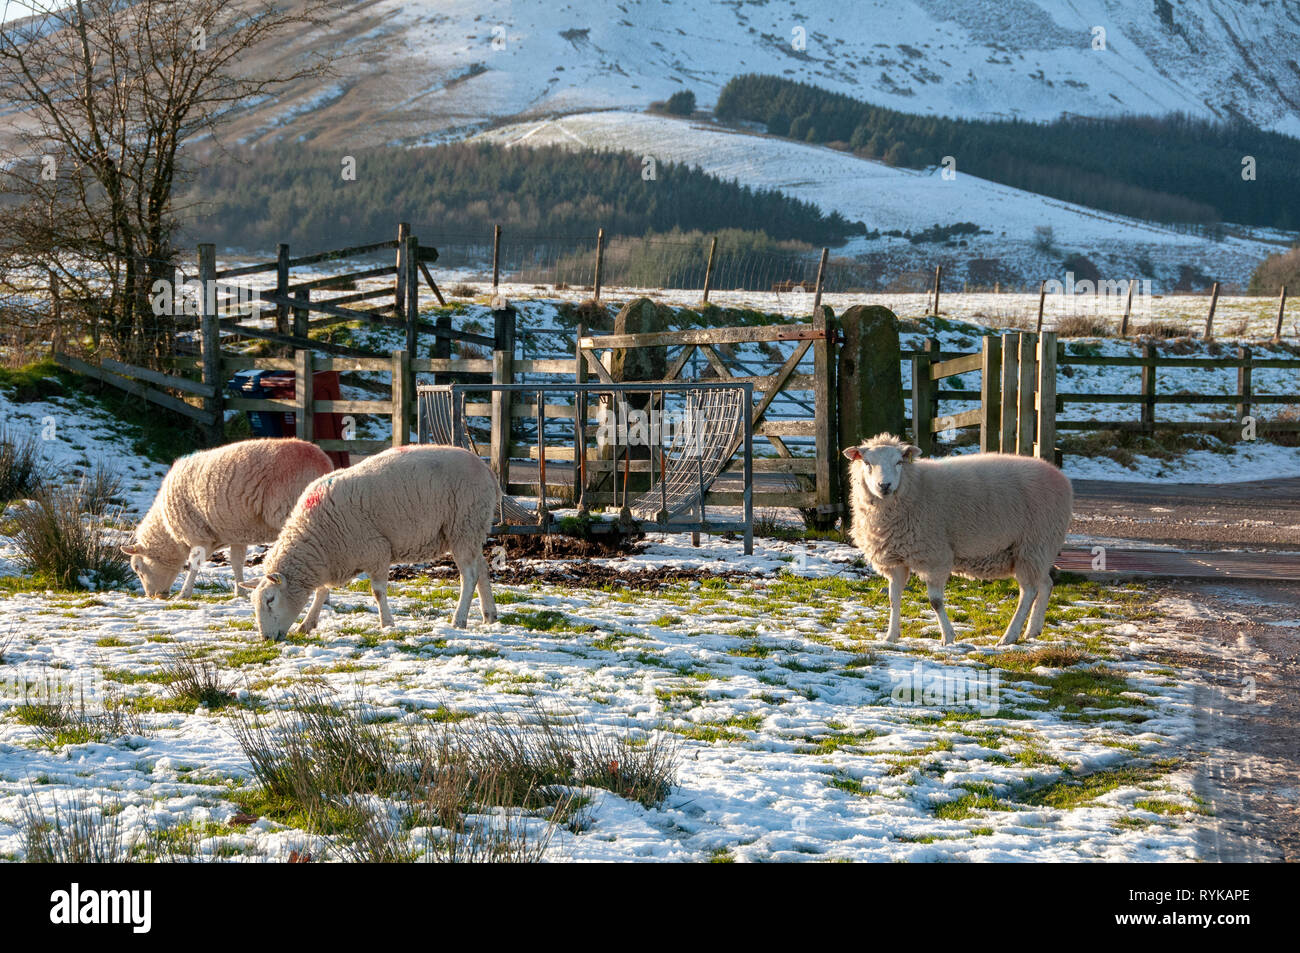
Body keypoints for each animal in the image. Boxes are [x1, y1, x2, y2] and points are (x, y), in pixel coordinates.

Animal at [124, 436, 332, 598]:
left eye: (137, 568)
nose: (153, 596)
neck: (169, 533)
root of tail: (322, 460)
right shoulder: (238, 533)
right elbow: (236, 562)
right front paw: (240, 592)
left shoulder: (197, 534)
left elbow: (194, 564)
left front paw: (184, 593)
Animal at [246, 444, 496, 639]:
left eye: (270, 600)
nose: (266, 639)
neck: (315, 534)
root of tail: (485, 468)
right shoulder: (332, 558)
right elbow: (321, 592)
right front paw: (307, 624)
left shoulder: (376, 550)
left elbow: (377, 592)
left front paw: (387, 624)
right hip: (473, 529)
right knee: (482, 569)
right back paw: (490, 615)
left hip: (464, 525)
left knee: (469, 576)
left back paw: (459, 620)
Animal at [842, 434, 1076, 647]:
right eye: (867, 463)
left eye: (899, 462)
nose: (885, 485)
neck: (914, 487)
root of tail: (1060, 476)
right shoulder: (896, 559)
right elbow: (893, 599)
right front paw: (890, 637)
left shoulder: (935, 556)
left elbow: (935, 602)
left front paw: (948, 637)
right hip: (1038, 550)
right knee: (1045, 584)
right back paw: (1032, 631)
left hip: (1033, 544)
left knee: (1028, 592)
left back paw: (1009, 636)